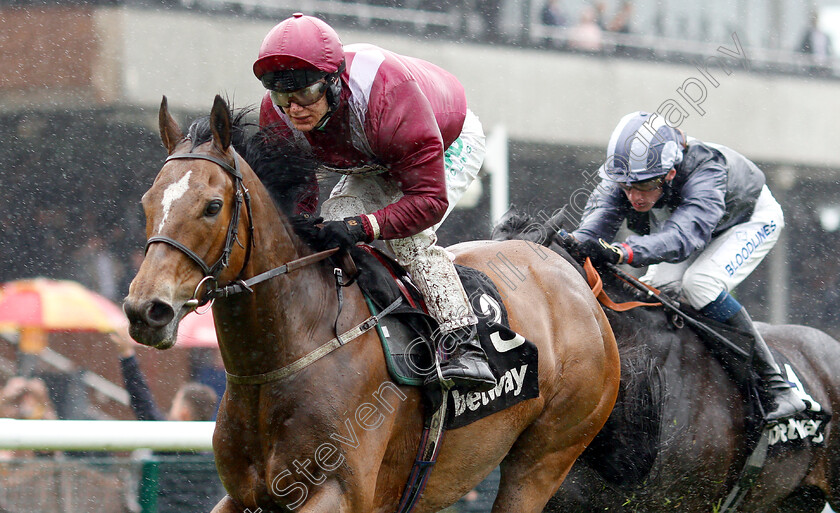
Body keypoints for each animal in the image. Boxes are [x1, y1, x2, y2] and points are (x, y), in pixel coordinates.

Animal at [123, 97, 624, 512]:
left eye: (212, 206)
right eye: (147, 201)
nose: (146, 310)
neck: (291, 349)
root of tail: (565, 270)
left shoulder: (337, 493)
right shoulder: (245, 497)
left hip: (546, 458)